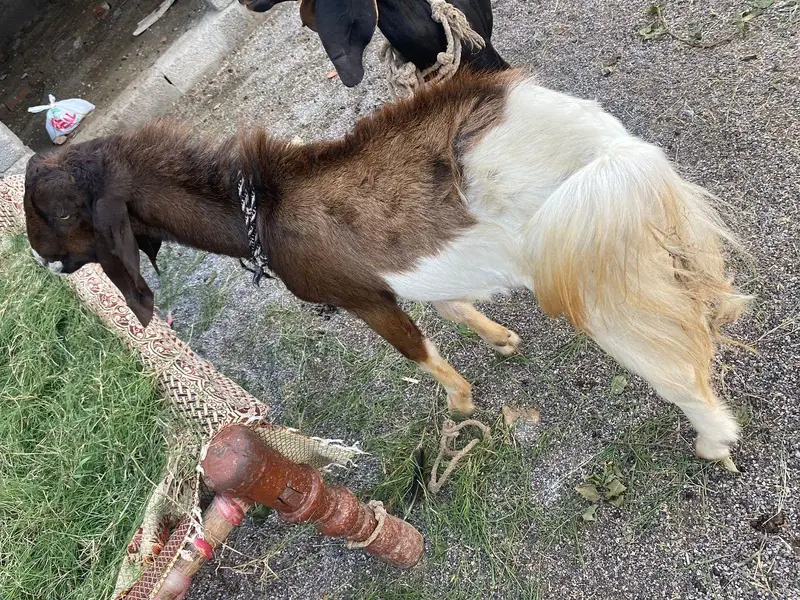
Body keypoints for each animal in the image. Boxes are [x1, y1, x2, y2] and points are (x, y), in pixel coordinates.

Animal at [24, 69, 750, 463]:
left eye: (53, 211)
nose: (40, 259)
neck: (264, 209)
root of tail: (605, 147)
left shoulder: (363, 298)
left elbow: (417, 351)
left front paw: (460, 402)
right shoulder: (405, 278)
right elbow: (450, 304)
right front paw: (503, 340)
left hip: (586, 259)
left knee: (670, 363)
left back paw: (715, 440)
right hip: (624, 230)